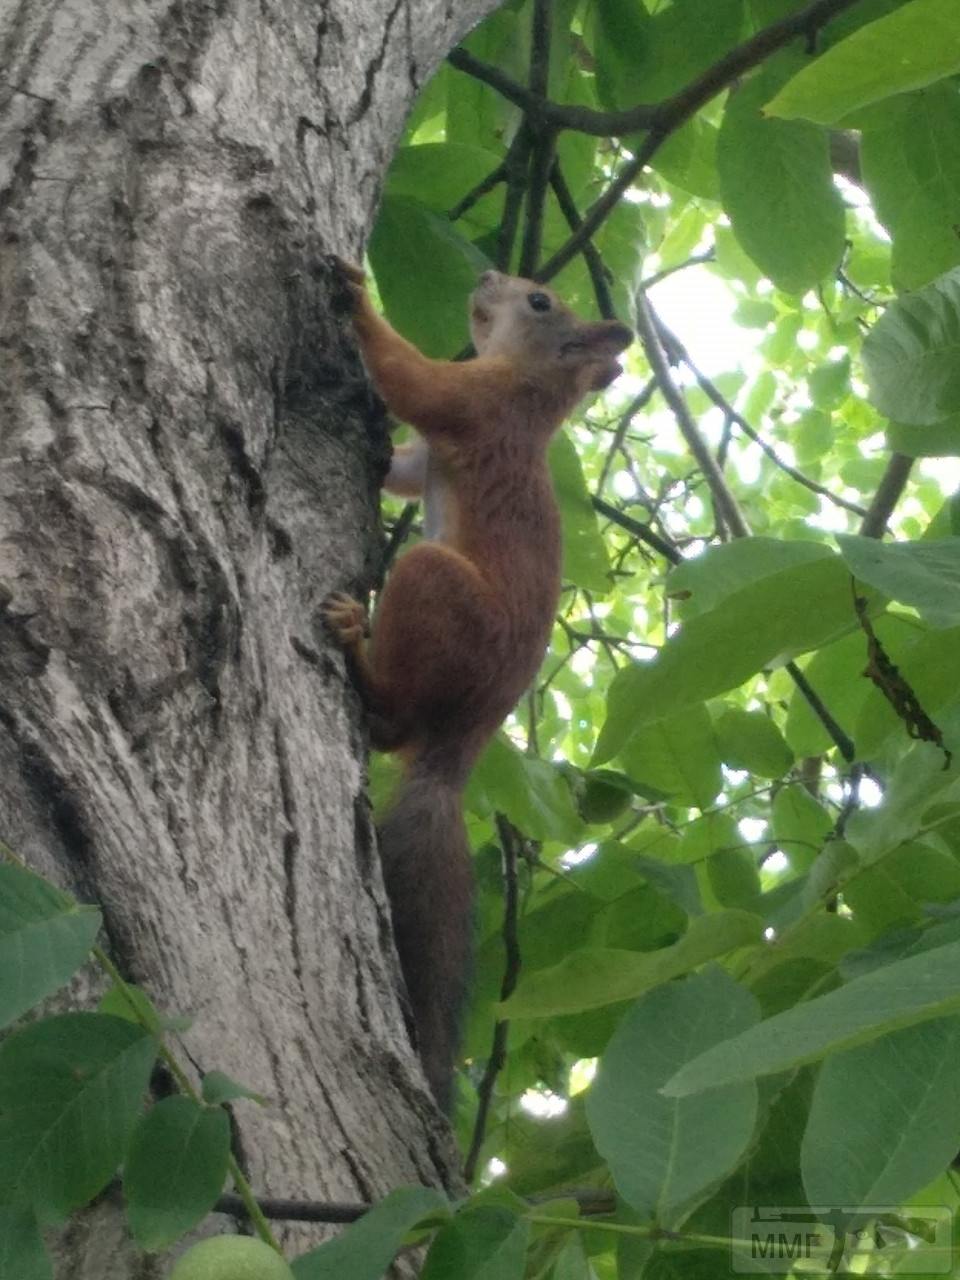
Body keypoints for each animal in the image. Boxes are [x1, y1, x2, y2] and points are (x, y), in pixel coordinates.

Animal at [327, 262, 634, 1111]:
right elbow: (401, 467)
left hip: (438, 591)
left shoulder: (473, 402)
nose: (488, 270)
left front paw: (358, 297)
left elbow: (414, 382)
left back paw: (356, 646)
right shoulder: (442, 441)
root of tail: (467, 737)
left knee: (394, 722)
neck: (529, 389)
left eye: (539, 301)